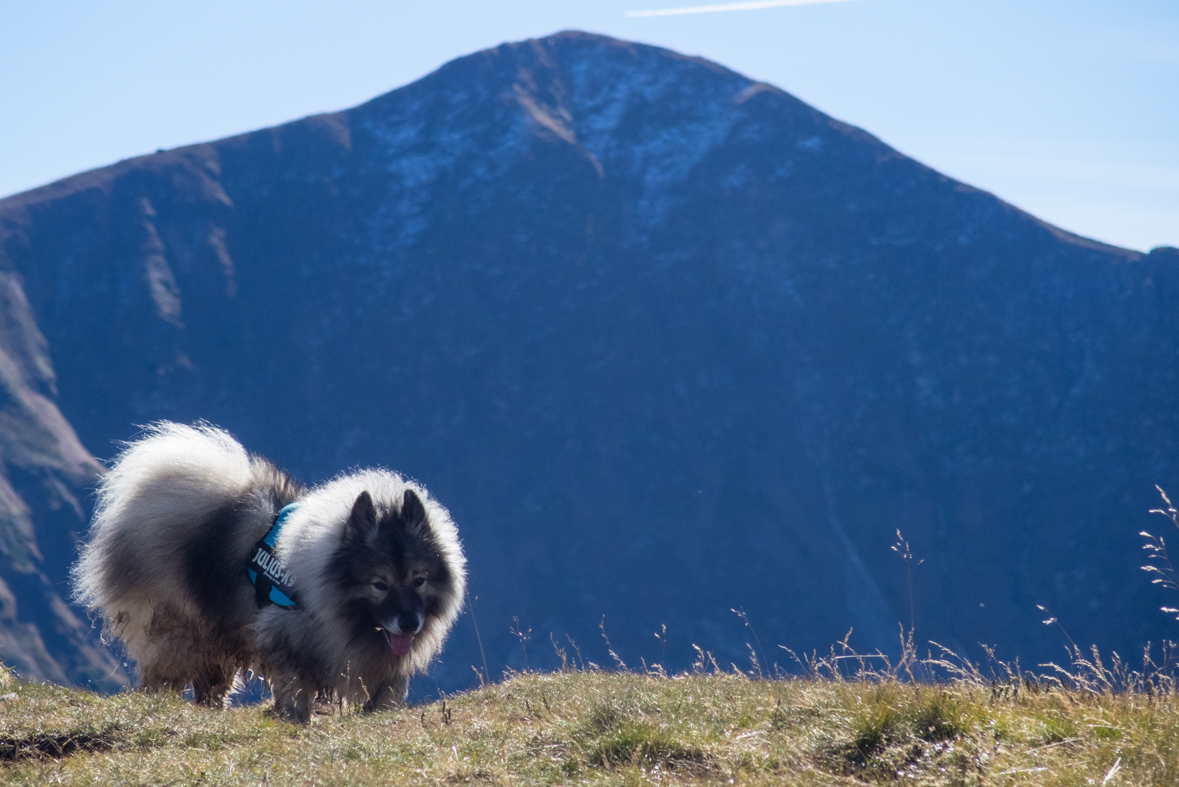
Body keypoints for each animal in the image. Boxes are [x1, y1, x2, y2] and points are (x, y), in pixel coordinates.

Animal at [70, 421, 469, 721]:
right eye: (379, 584)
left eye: (419, 580)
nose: (409, 623)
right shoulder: (287, 639)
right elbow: (295, 688)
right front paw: (295, 719)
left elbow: (387, 694)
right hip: (182, 636)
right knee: (160, 681)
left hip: (218, 637)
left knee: (210, 686)